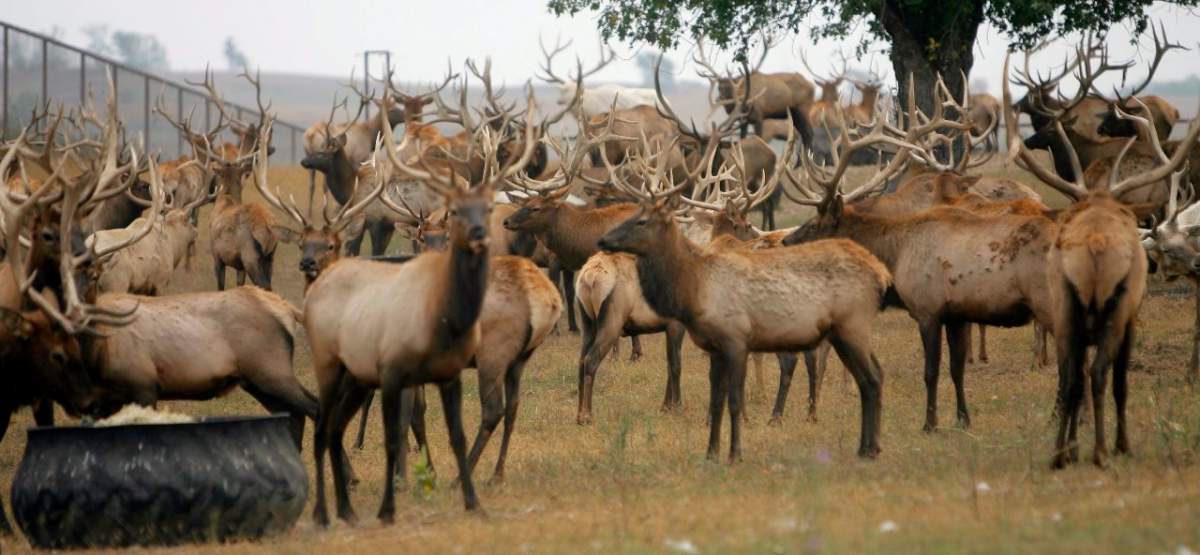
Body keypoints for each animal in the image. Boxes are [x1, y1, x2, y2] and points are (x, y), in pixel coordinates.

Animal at [304, 81, 542, 524]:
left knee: (493, 409)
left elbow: (406, 418)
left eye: (328, 149)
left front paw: (409, 476)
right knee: (511, 406)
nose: (304, 158)